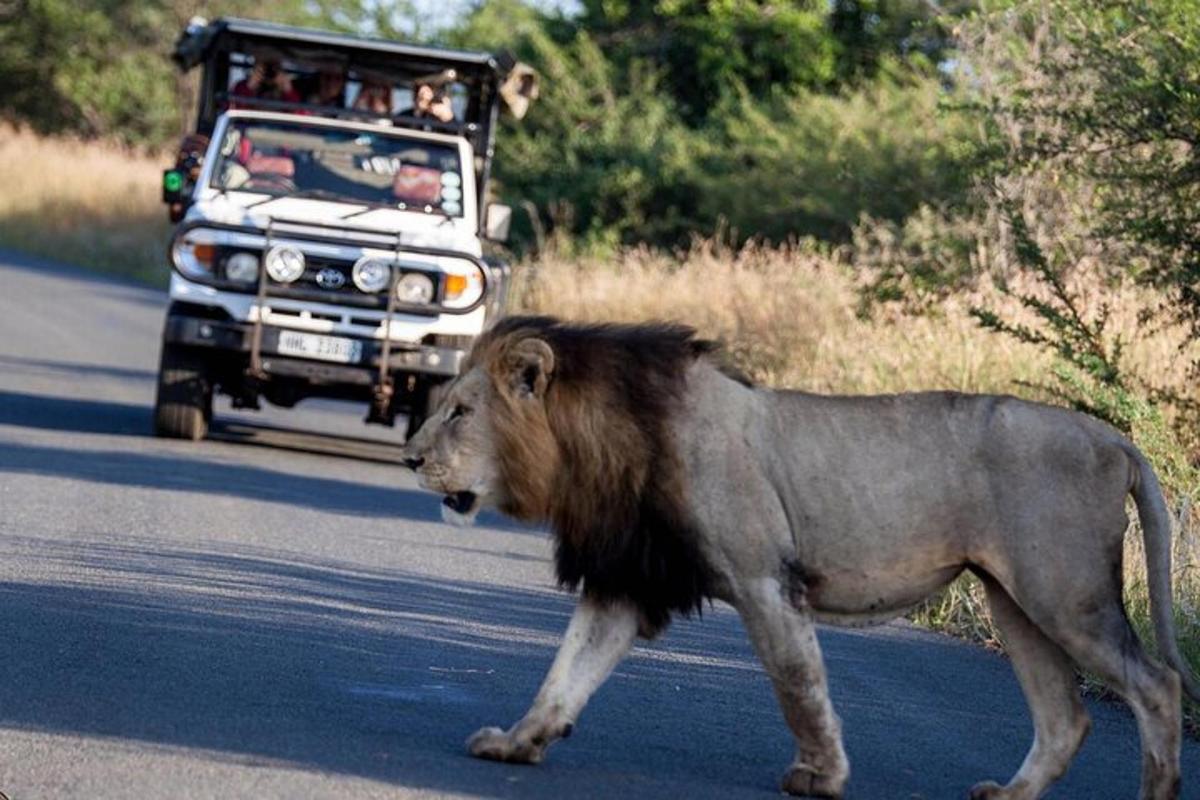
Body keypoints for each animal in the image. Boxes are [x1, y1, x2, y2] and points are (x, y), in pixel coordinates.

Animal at [403, 316, 1200, 796]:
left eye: (460, 413)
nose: (410, 458)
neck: (588, 447)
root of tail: (1112, 438)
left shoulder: (764, 580)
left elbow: (798, 686)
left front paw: (820, 775)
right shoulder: (627, 579)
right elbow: (565, 673)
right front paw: (518, 742)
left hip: (1064, 593)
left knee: (1157, 684)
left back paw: (1152, 790)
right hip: (1015, 600)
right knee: (1066, 717)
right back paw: (1010, 793)